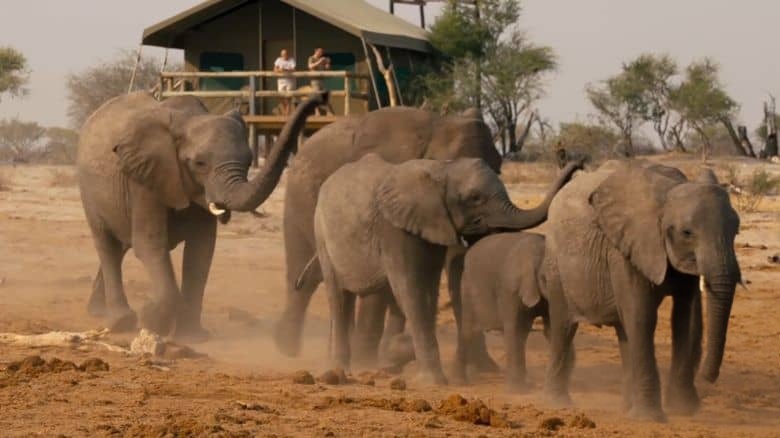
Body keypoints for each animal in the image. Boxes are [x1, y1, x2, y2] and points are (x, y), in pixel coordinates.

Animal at [77, 90, 327, 339]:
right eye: (199, 163)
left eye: (248, 161)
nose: (321, 96)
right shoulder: (145, 180)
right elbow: (150, 244)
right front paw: (150, 320)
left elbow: (201, 251)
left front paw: (191, 336)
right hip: (88, 190)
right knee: (107, 245)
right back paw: (120, 322)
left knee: (120, 247)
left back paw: (97, 310)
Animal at [276, 105, 504, 367]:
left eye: (498, 170)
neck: (436, 124)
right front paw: (366, 362)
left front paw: (485, 370)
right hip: (301, 201)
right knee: (305, 274)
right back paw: (288, 349)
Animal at [454, 232, 550, 392]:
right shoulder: (510, 289)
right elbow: (514, 329)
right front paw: (518, 391)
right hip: (467, 287)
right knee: (468, 330)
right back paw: (460, 381)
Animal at [542, 159, 741, 422]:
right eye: (687, 233)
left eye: (736, 230)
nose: (708, 378)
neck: (667, 195)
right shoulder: (625, 249)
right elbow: (642, 316)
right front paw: (651, 418)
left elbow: (684, 319)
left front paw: (684, 410)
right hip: (556, 262)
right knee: (563, 325)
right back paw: (558, 403)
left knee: (623, 330)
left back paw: (626, 408)